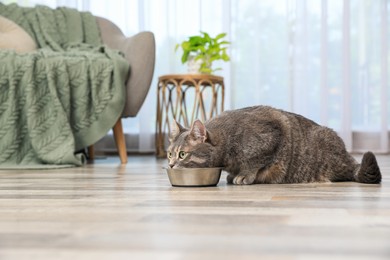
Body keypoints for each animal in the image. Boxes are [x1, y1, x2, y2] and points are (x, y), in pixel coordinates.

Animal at [168, 105, 380, 185]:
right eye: (170, 154)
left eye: (182, 154)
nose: (170, 164)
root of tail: (348, 158)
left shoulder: (271, 137)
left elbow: (253, 162)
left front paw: (243, 175)